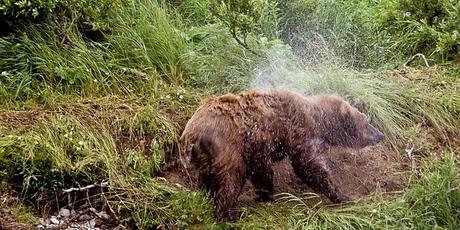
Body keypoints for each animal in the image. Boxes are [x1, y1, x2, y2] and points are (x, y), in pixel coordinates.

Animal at [180, 89, 384, 221]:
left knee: (208, 176)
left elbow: (261, 171)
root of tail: (190, 133)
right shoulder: (297, 131)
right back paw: (228, 213)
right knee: (231, 177)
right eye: (366, 121)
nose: (380, 134)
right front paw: (342, 195)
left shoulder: (259, 146)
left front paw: (265, 195)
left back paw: (207, 196)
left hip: (206, 156)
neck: (318, 118)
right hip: (226, 145)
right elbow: (308, 165)